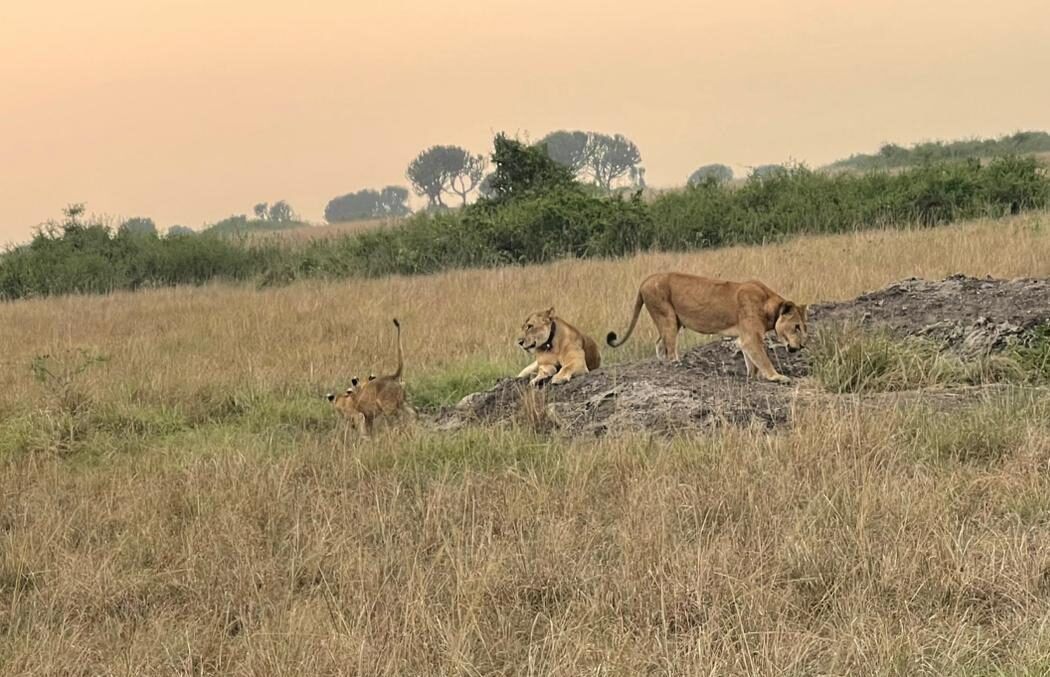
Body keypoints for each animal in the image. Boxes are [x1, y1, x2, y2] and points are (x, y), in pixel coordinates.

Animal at [607, 272, 808, 382]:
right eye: (796, 327)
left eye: (803, 328)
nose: (801, 347)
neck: (770, 306)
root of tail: (646, 280)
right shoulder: (751, 337)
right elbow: (763, 359)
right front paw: (777, 377)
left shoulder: (745, 337)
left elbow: (751, 360)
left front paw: (753, 376)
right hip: (667, 316)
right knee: (669, 348)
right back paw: (676, 363)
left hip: (672, 321)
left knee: (659, 343)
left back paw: (663, 362)